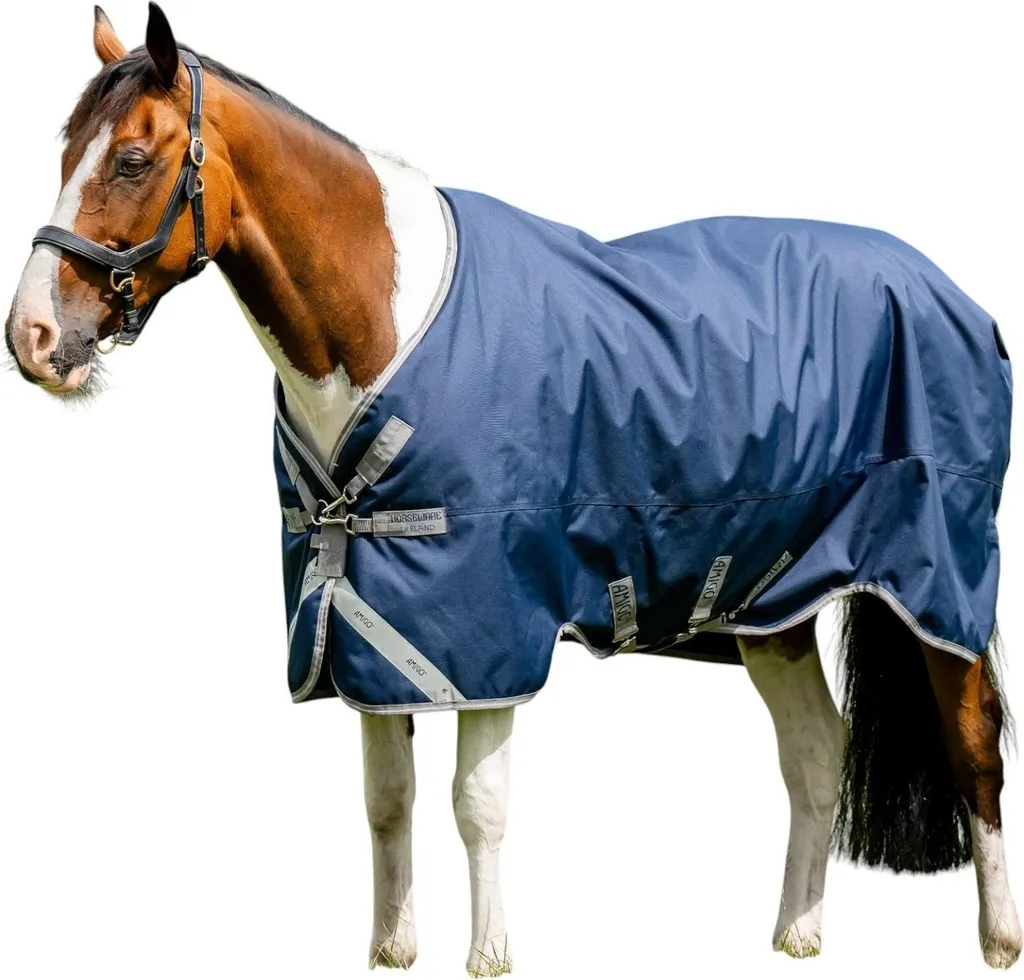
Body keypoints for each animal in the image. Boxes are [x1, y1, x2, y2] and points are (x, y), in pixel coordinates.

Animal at [4, 5, 1020, 973]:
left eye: (132, 159)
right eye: (61, 153)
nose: (33, 338)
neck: (382, 317)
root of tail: (954, 294)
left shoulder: (487, 626)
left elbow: (476, 803)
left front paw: (488, 956)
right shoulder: (369, 626)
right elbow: (387, 799)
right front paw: (390, 951)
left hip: (936, 587)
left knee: (975, 750)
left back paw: (997, 940)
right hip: (773, 602)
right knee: (816, 754)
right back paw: (798, 934)